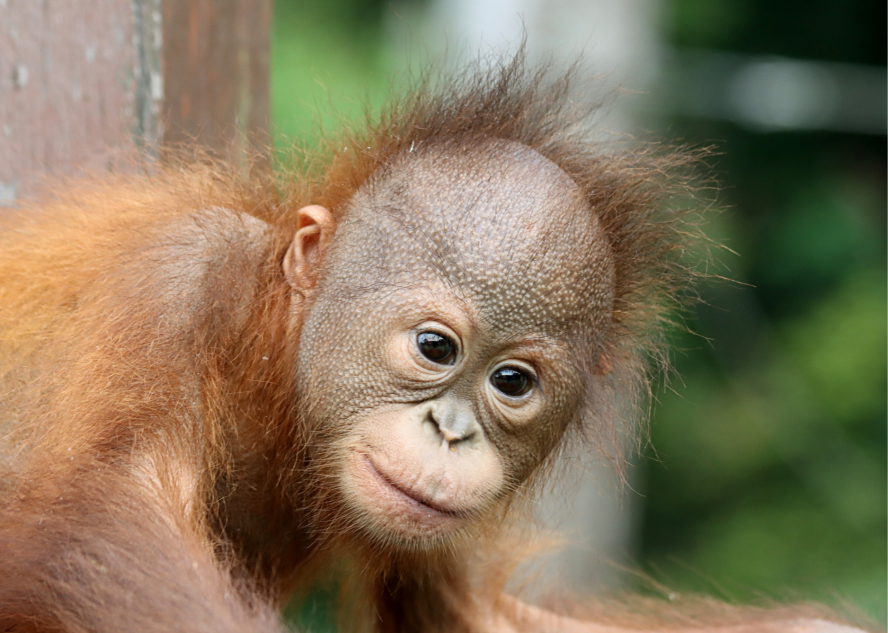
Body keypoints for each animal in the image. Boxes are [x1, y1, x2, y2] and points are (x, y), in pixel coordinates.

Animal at [0, 55, 866, 633]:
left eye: (512, 382)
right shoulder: (177, 280)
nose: (449, 431)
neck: (272, 373)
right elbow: (104, 510)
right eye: (434, 347)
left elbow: (473, 612)